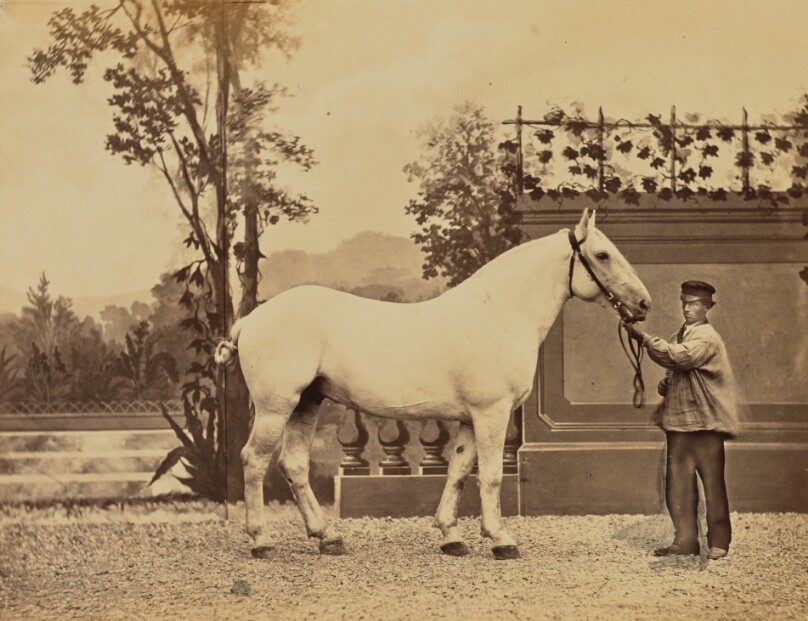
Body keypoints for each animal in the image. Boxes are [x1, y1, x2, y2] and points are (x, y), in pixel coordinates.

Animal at [214, 208, 651, 560]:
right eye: (603, 255)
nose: (644, 304)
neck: (500, 311)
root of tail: (250, 320)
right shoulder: (492, 413)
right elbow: (490, 475)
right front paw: (501, 540)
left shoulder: (470, 418)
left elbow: (457, 470)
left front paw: (451, 537)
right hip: (276, 407)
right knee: (254, 460)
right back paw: (262, 542)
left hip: (306, 403)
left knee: (293, 464)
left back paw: (327, 538)